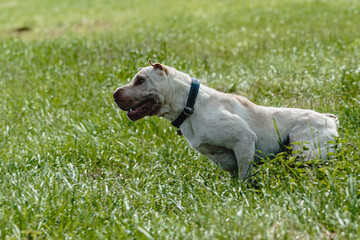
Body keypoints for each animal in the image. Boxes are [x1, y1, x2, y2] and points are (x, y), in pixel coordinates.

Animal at [114, 59, 338, 180]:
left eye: (140, 80)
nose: (114, 94)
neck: (190, 105)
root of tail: (331, 120)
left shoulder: (244, 140)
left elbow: (245, 177)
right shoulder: (224, 158)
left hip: (302, 151)